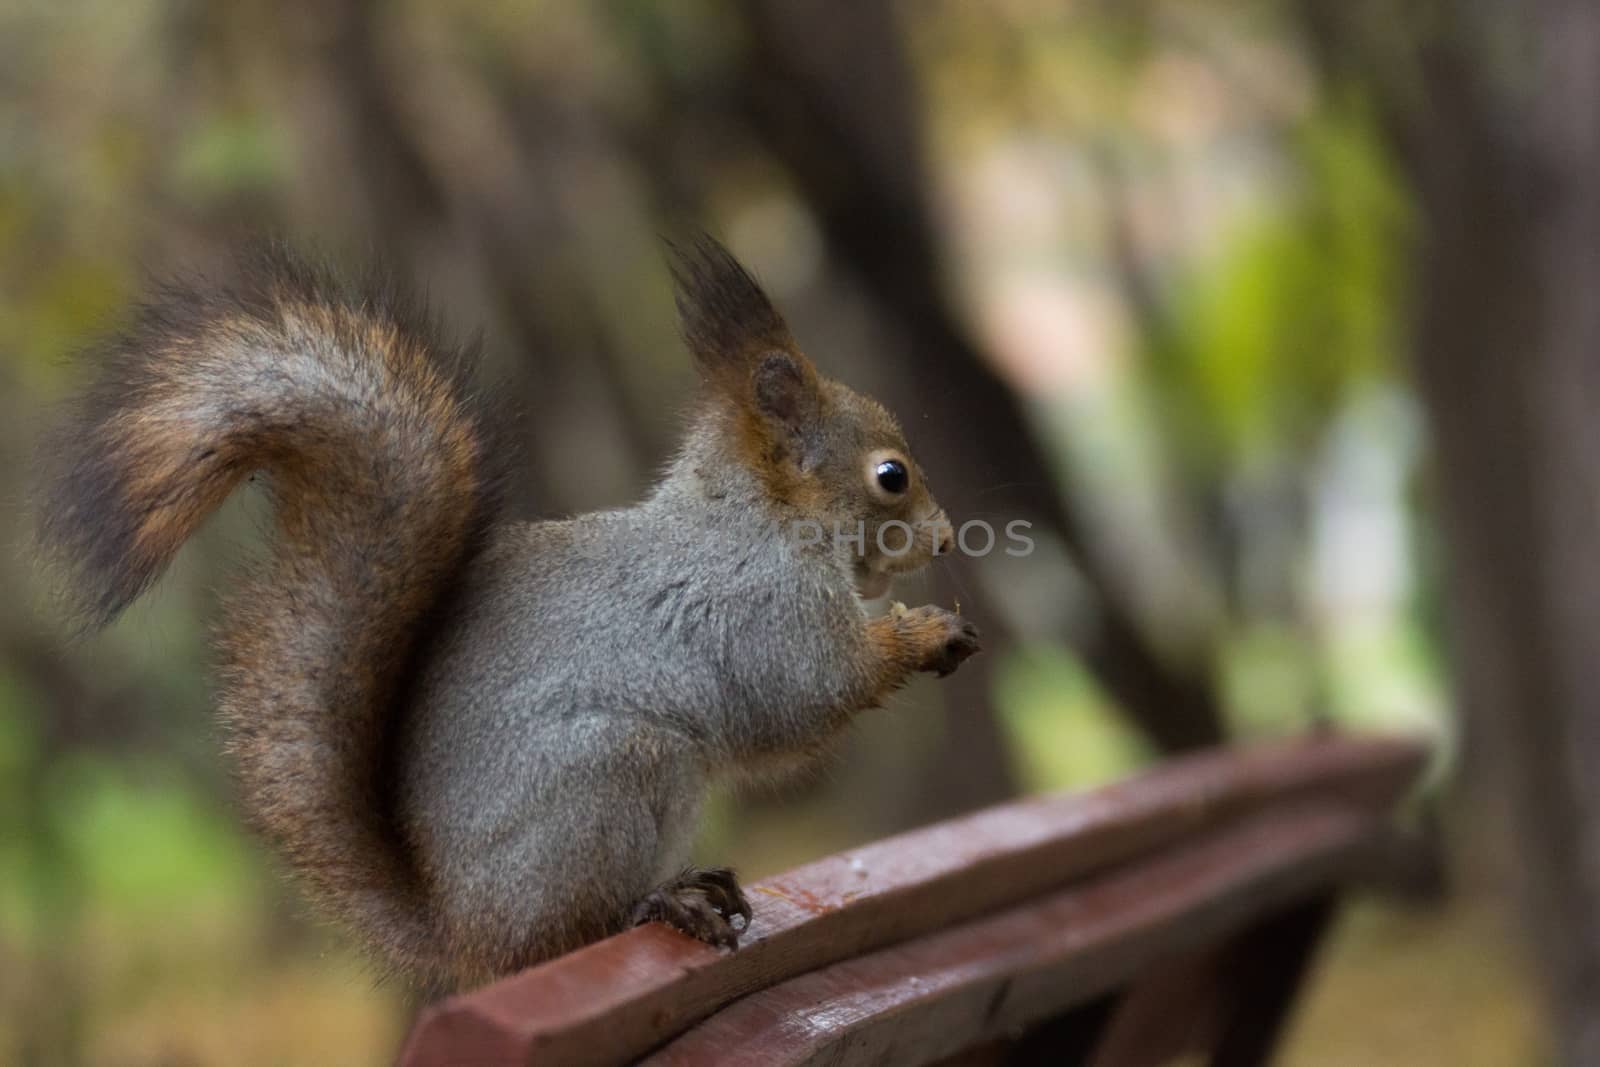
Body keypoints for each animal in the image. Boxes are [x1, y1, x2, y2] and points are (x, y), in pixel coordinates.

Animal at [37, 238, 979, 991]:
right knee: (570, 932)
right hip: (614, 776)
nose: (943, 536)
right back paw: (663, 901)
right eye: (891, 475)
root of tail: (464, 932)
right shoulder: (761, 609)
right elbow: (810, 696)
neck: (760, 517)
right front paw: (923, 632)